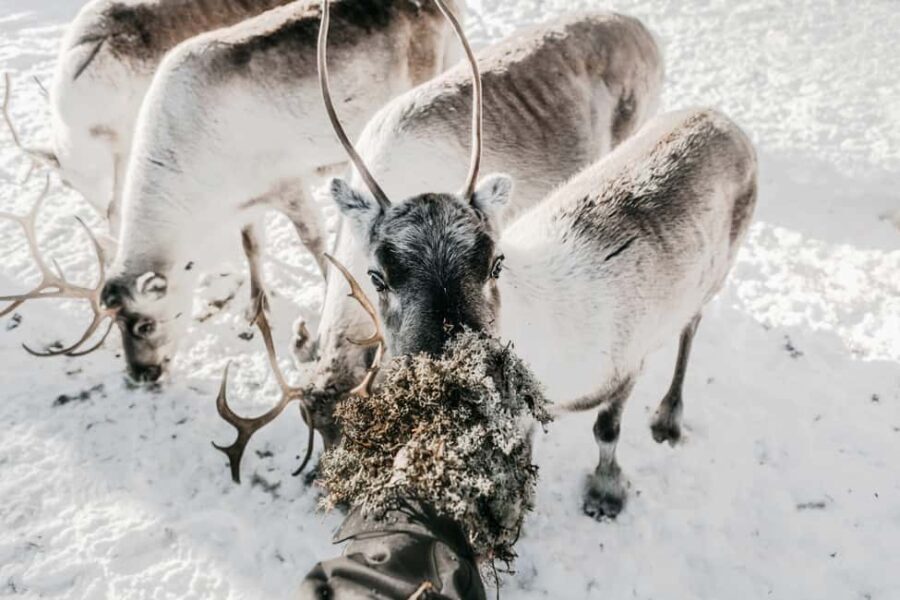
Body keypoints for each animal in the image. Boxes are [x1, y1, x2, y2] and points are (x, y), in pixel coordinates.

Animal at [315, 0, 757, 519]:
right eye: (377, 276)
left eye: (494, 263)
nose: (454, 389)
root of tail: (723, 120)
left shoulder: (626, 366)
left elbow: (606, 430)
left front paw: (606, 492)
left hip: (718, 272)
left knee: (692, 325)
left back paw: (668, 418)